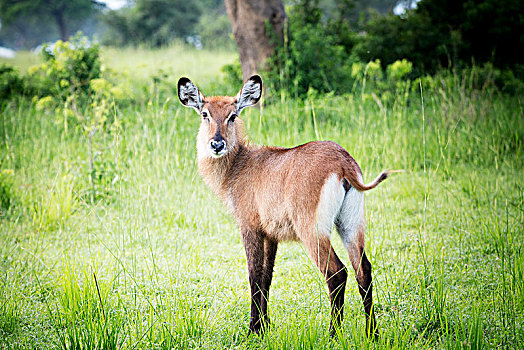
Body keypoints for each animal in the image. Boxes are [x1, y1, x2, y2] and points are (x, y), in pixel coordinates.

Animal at [178, 74, 390, 336]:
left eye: (233, 115)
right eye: (205, 114)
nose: (217, 144)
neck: (238, 165)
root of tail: (342, 161)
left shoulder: (250, 228)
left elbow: (254, 276)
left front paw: (253, 330)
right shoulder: (271, 235)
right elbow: (267, 277)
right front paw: (265, 326)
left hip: (313, 230)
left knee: (337, 273)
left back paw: (333, 334)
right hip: (351, 224)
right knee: (364, 270)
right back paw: (373, 334)